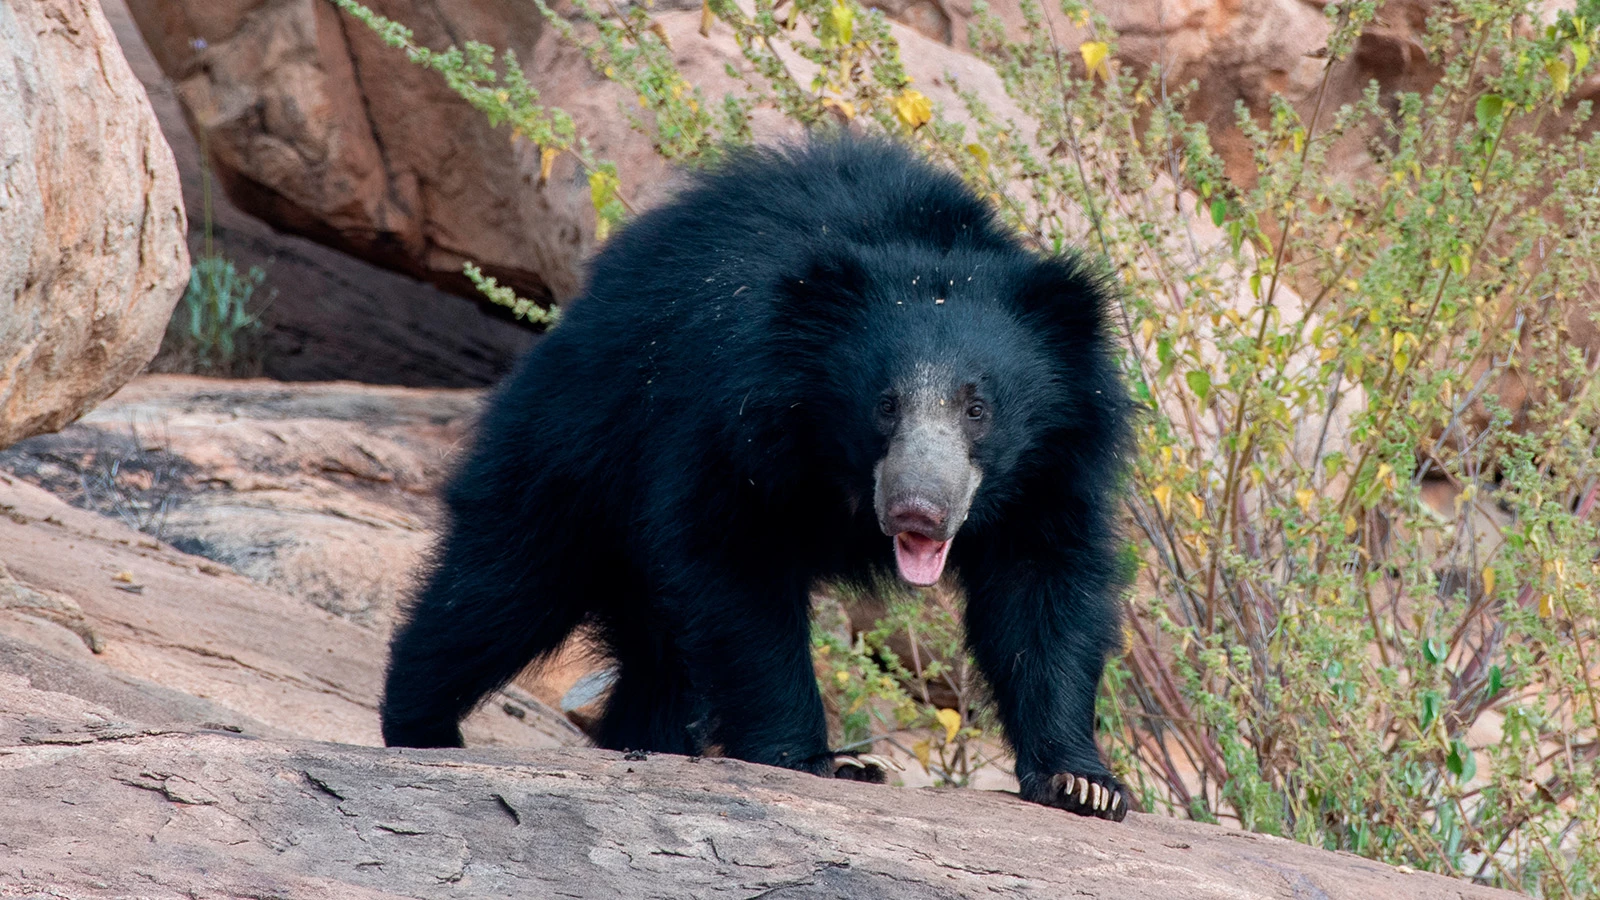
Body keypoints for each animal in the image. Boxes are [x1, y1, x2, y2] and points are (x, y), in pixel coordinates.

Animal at [384, 136, 1139, 816]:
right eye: (885, 404)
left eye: (978, 408)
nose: (918, 512)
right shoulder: (732, 421)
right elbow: (736, 569)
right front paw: (815, 761)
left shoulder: (1058, 464)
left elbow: (1040, 589)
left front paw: (1083, 784)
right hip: (580, 441)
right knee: (503, 585)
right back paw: (423, 728)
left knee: (654, 660)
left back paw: (639, 746)